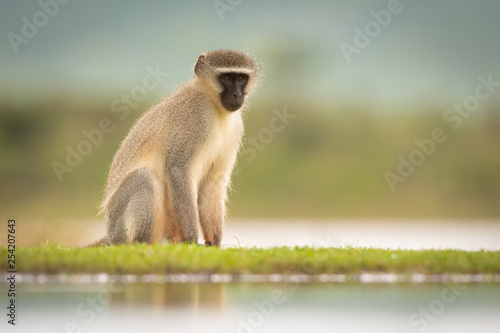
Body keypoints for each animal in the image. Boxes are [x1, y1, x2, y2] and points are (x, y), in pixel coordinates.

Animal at [91, 50, 262, 246]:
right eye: (226, 78)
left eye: (241, 78)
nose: (236, 95)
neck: (215, 107)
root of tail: (110, 233)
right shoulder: (196, 115)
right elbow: (179, 171)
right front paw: (191, 239)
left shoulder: (235, 129)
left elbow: (213, 182)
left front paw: (214, 242)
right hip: (119, 224)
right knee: (144, 178)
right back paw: (144, 244)